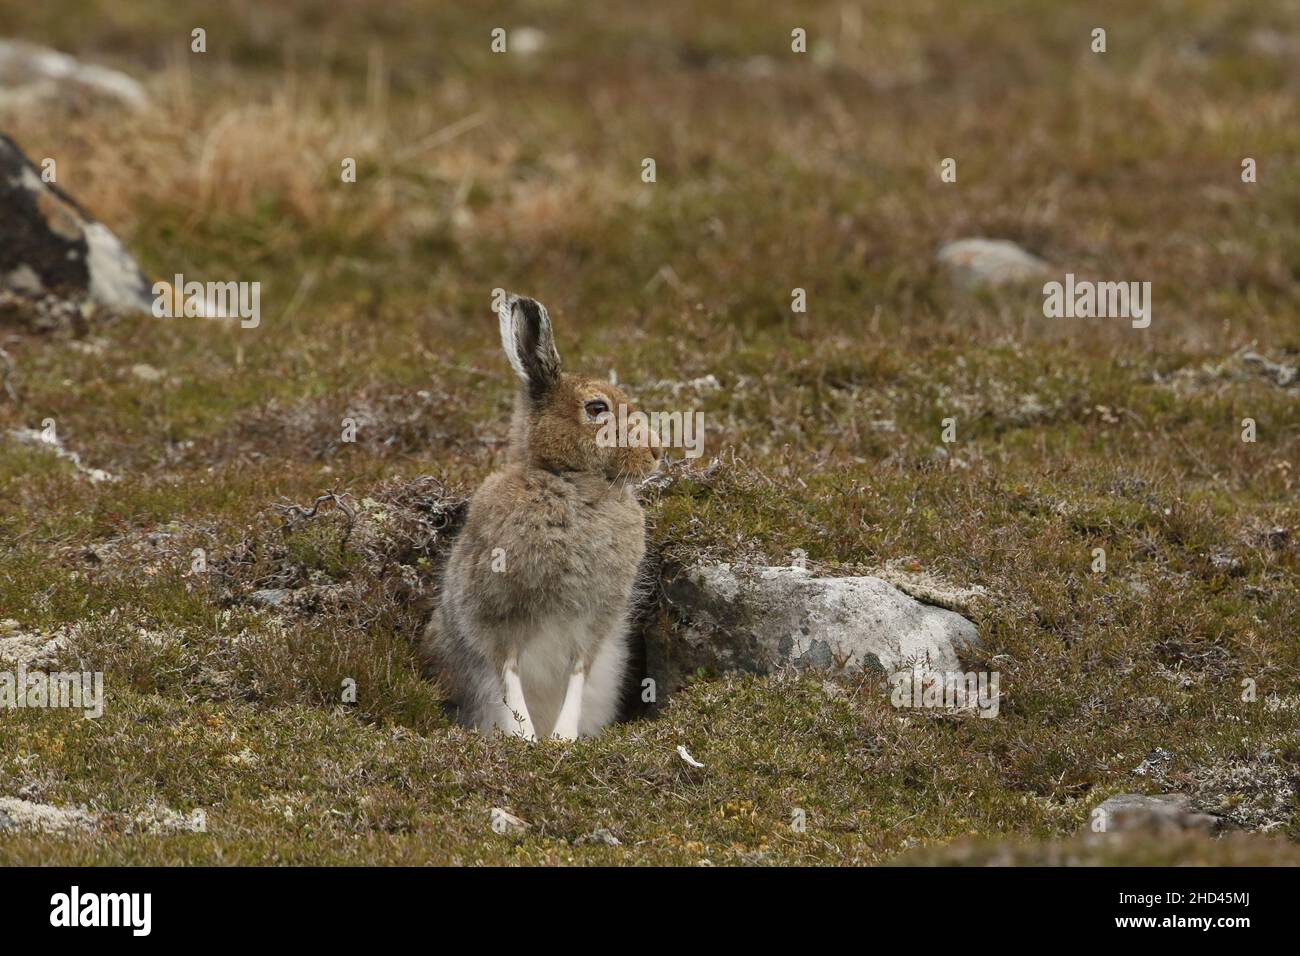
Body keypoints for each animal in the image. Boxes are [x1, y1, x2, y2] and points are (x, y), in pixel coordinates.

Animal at [422, 293, 662, 740]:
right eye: (597, 407)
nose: (656, 452)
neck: (567, 480)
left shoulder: (593, 626)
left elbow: (577, 676)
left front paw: (562, 740)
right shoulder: (494, 618)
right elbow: (509, 678)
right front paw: (527, 740)